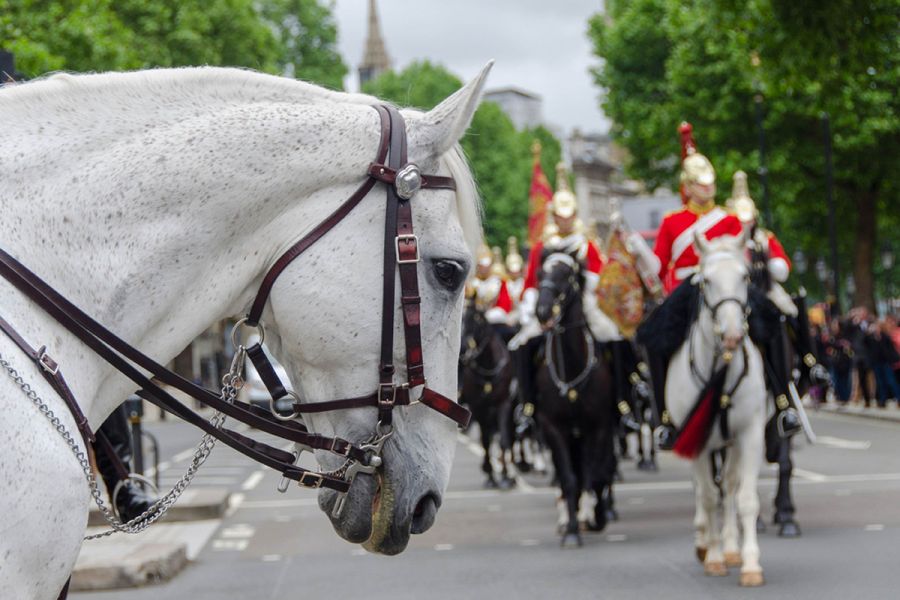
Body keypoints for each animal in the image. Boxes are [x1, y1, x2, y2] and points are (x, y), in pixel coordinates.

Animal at [460, 302, 516, 490]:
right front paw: (490, 475)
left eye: (476, 320)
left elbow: (504, 439)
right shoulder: (478, 408)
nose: (462, 351)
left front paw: (506, 476)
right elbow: (485, 441)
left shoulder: (503, 404)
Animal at [536, 251, 620, 548]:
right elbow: (570, 478)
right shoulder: (553, 428)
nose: (542, 311)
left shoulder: (598, 427)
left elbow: (592, 474)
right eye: (540, 274)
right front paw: (571, 529)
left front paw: (592, 517)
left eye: (566, 274)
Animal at [668, 232, 768, 588]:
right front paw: (712, 557)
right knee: (704, 491)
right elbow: (710, 498)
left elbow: (746, 498)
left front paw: (750, 564)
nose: (733, 335)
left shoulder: (750, 435)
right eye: (705, 281)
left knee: (729, 486)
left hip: (730, 443)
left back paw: (731, 548)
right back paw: (704, 543)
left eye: (745, 276)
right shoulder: (696, 439)